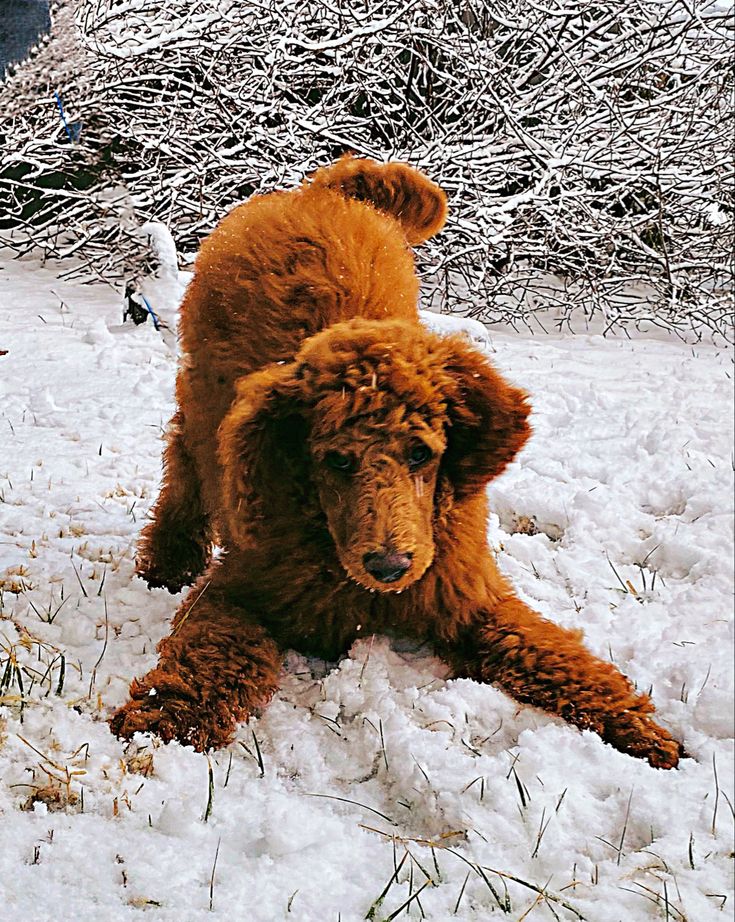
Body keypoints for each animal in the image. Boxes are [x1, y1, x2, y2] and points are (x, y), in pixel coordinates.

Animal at [110, 155, 684, 764]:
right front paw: (170, 715)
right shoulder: (240, 587)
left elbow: (548, 652)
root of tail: (324, 191)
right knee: (186, 473)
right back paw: (167, 564)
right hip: (201, 403)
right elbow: (212, 649)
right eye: (336, 460)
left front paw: (636, 727)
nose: (390, 566)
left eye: (420, 453)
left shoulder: (468, 597)